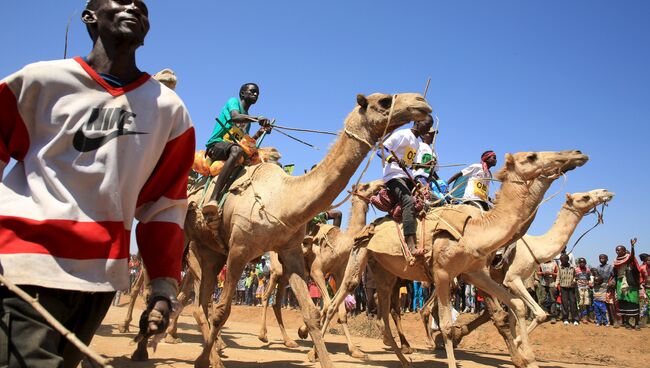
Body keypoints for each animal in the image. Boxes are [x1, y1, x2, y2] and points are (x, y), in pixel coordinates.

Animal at [256, 180, 382, 358]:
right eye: (366, 186)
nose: (381, 184)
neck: (340, 245)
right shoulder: (317, 271)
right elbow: (327, 304)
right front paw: (306, 336)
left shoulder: (338, 274)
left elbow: (340, 312)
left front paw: (355, 351)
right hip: (276, 269)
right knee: (267, 295)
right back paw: (263, 335)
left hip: (287, 274)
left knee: (277, 301)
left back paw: (289, 341)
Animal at [316, 150, 588, 368]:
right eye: (532, 156)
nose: (576, 154)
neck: (477, 230)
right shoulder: (444, 273)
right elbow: (449, 325)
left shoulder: (474, 272)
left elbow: (515, 306)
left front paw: (526, 358)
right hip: (360, 257)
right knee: (337, 301)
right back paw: (320, 355)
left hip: (385, 272)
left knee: (384, 314)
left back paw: (404, 359)